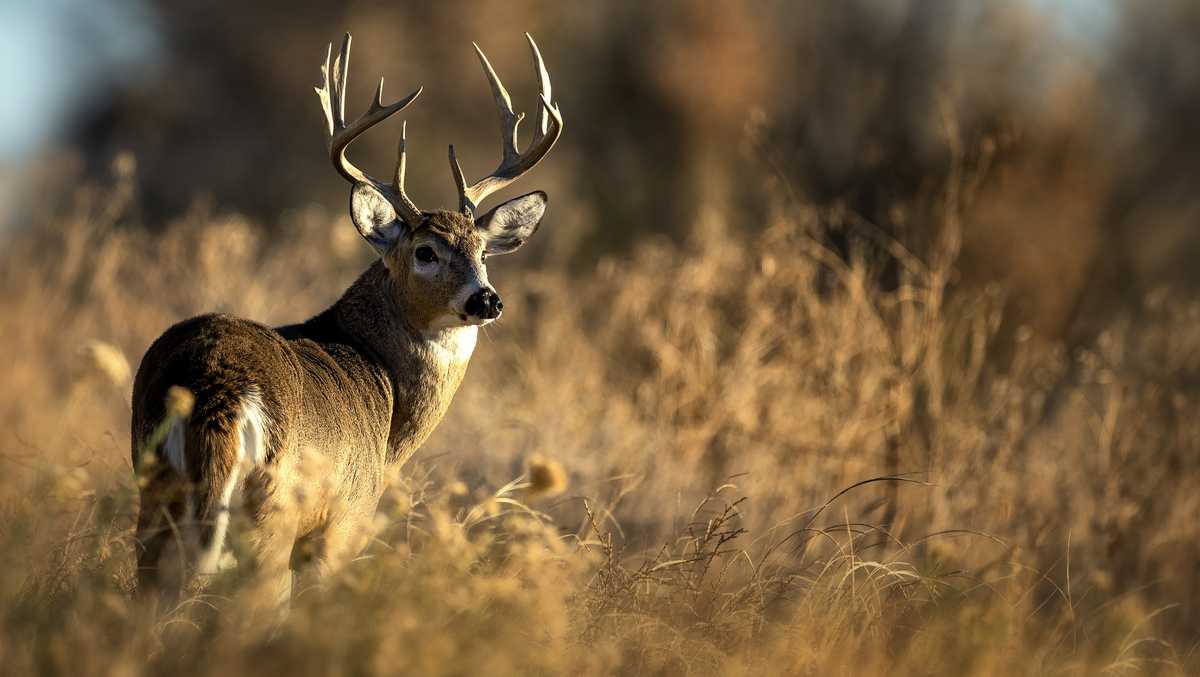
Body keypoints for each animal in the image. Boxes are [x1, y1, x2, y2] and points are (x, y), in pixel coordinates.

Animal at [130, 32, 562, 607]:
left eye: (483, 252)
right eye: (425, 251)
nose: (486, 300)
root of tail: (218, 387)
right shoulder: (345, 519)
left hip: (153, 491)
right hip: (271, 514)